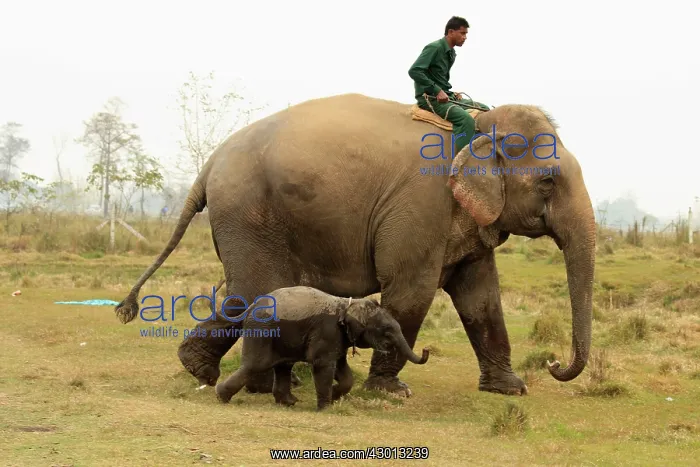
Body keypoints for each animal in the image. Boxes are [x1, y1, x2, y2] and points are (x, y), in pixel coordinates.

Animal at [205, 286, 429, 410]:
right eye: (386, 331)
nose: (426, 350)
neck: (347, 304)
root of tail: (250, 307)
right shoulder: (327, 331)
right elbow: (322, 364)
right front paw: (326, 407)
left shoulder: (338, 337)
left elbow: (342, 369)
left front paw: (335, 394)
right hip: (262, 332)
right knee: (255, 365)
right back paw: (221, 397)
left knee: (283, 366)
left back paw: (289, 402)